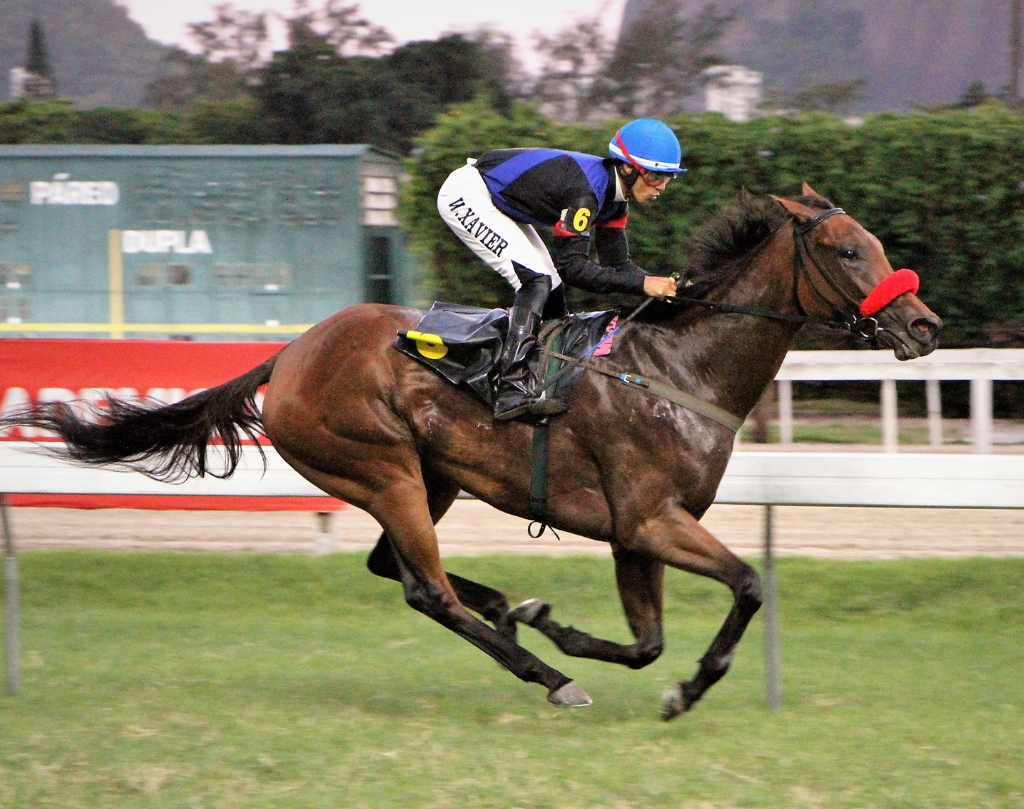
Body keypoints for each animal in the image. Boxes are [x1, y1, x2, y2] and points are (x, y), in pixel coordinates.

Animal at [2, 185, 942, 720]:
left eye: (877, 244)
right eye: (847, 249)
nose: (925, 326)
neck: (678, 368)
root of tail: (289, 354)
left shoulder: (636, 531)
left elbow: (647, 640)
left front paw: (567, 626)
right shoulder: (649, 518)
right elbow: (745, 585)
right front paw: (673, 688)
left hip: (433, 476)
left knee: (402, 569)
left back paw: (514, 611)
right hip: (380, 466)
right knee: (426, 589)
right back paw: (542, 670)